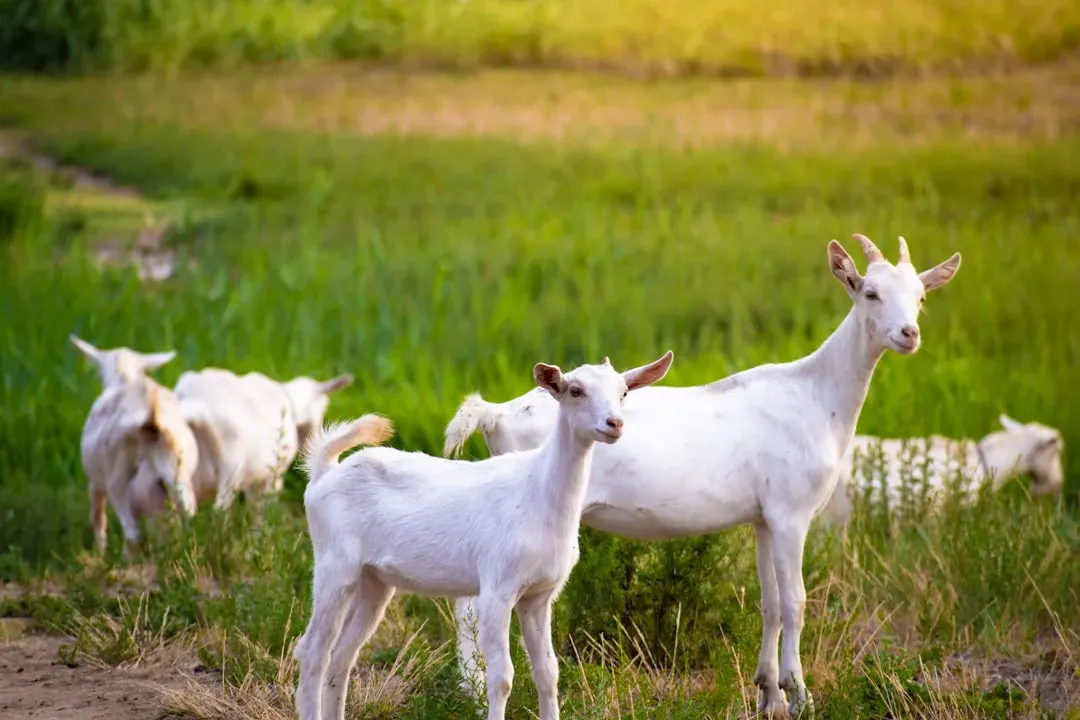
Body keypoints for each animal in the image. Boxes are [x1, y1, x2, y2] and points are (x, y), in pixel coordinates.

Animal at [73, 337, 198, 555]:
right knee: (187, 522)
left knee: (132, 533)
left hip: (118, 481)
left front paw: (100, 553)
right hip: (178, 478)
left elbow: (97, 517)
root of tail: (151, 415)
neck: (124, 376)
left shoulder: (96, 480)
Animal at [294, 352, 674, 720]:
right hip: (334, 564)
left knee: (342, 656)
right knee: (312, 650)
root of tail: (324, 472)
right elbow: (502, 677)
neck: (539, 494)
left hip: (374, 580)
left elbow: (547, 672)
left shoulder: (539, 595)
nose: (614, 424)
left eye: (623, 392)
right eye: (575, 390)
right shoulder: (497, 589)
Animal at [444, 234, 961, 718]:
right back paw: (472, 692)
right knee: (470, 605)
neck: (818, 396)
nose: (908, 333)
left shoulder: (764, 519)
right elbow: (796, 600)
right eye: (870, 292)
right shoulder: (791, 514)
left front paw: (768, 694)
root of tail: (495, 415)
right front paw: (801, 695)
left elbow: (770, 603)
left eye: (920, 296)